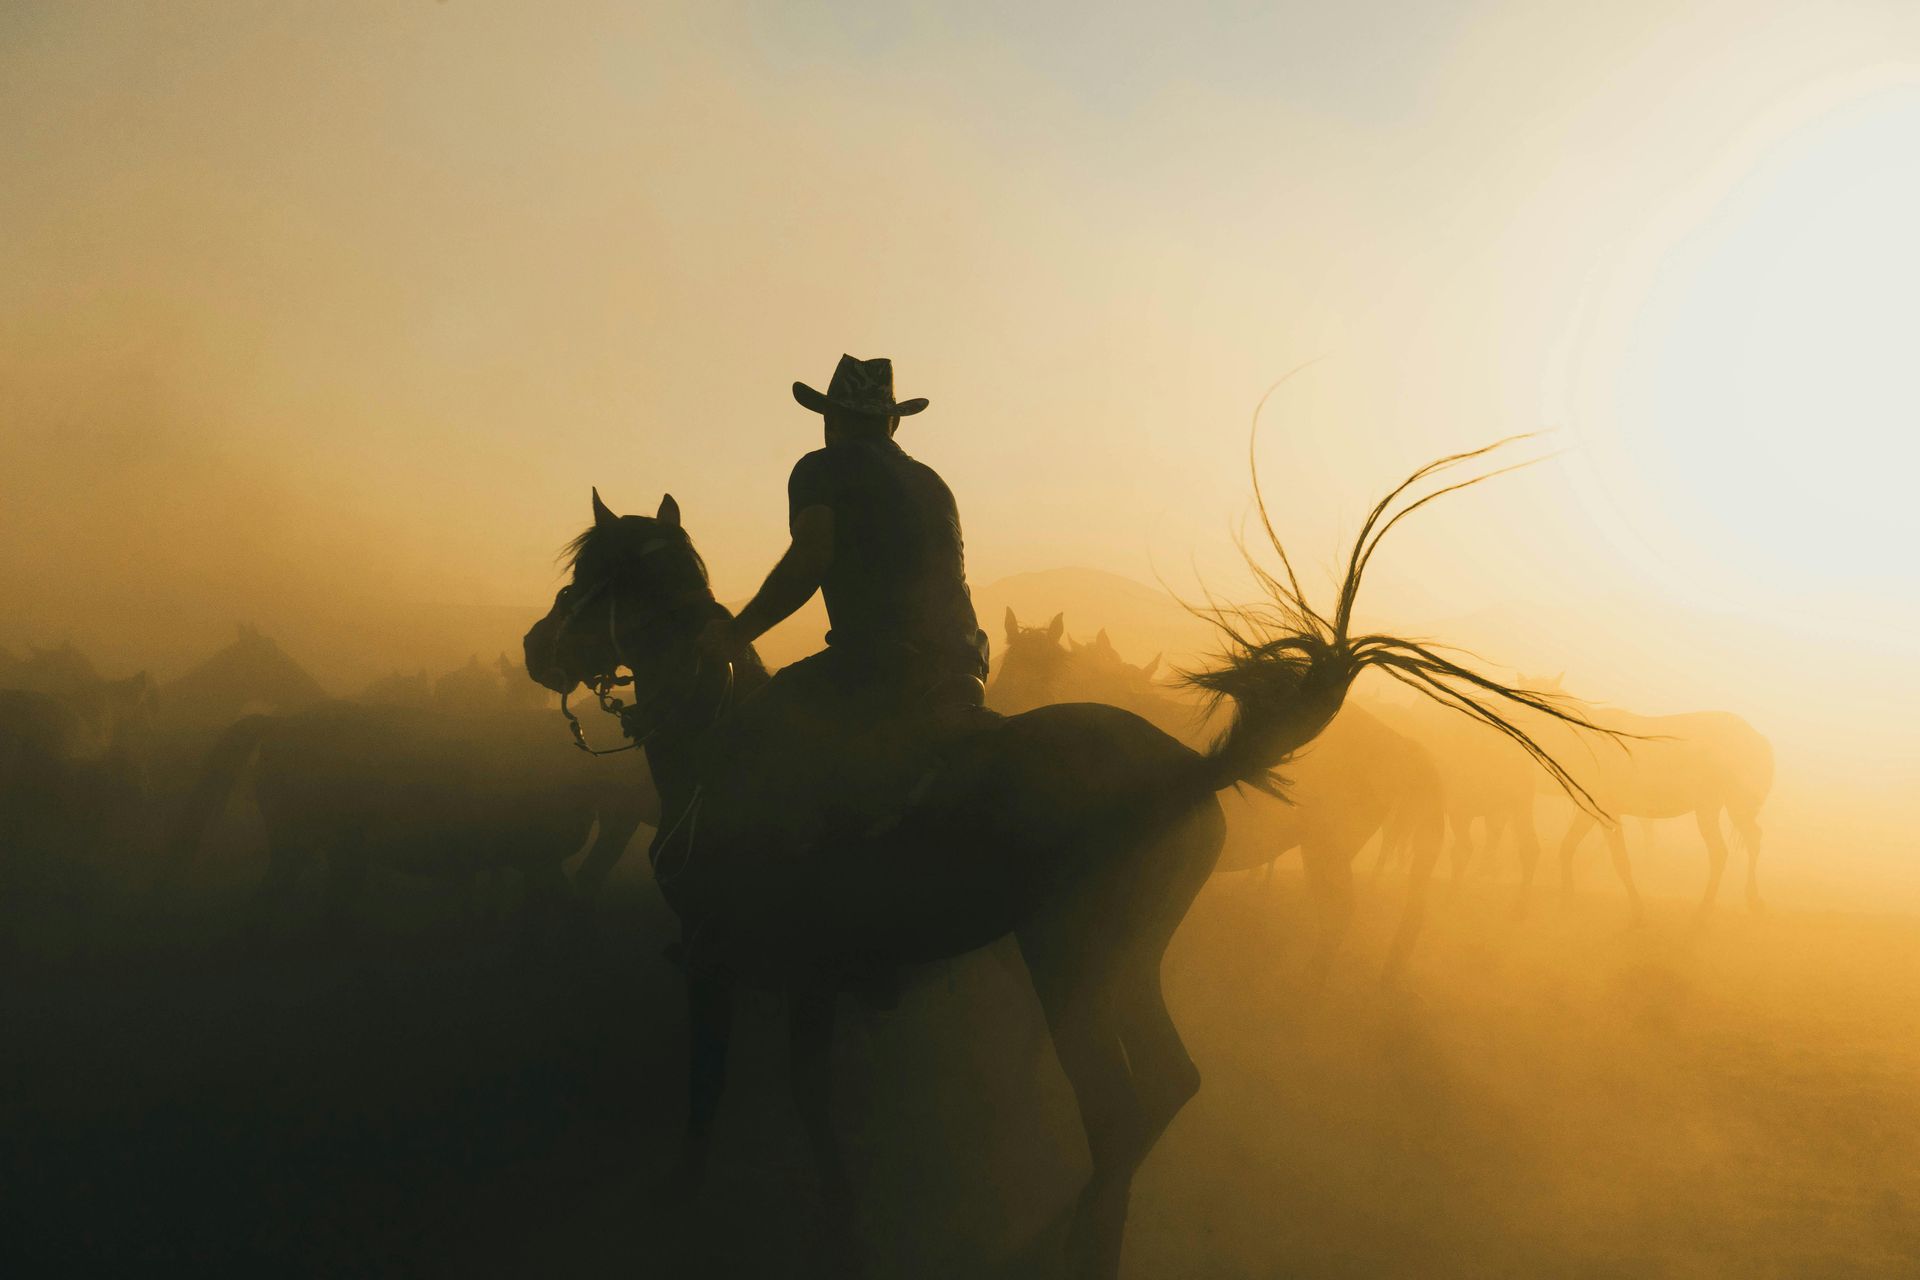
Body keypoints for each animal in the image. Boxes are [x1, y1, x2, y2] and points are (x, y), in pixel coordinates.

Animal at [525, 444, 1596, 1278]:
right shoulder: (808, 976)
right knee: (1168, 1083)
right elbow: (809, 1100)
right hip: (1127, 960)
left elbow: (712, 1093)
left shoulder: (722, 959)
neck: (721, 745)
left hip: (1069, 956)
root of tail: (1188, 771)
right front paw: (835, 1214)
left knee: (1118, 1102)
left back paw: (1088, 1242)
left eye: (599, 576)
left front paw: (689, 1203)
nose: (539, 647)